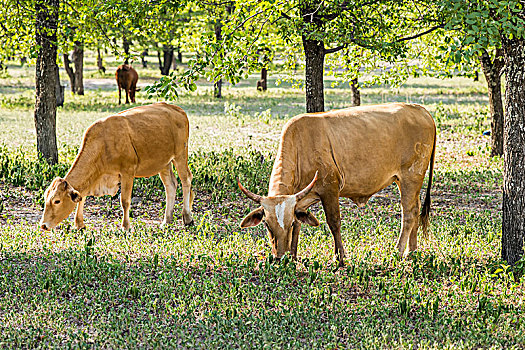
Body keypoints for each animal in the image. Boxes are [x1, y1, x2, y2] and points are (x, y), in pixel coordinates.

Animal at [39, 102, 194, 231]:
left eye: (57, 201)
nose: (43, 225)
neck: (103, 144)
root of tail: (177, 109)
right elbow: (82, 197)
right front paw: (79, 224)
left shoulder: (128, 171)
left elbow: (124, 201)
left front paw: (125, 227)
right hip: (164, 163)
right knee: (171, 186)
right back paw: (166, 221)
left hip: (180, 155)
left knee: (186, 180)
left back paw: (187, 218)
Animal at [237, 102, 434, 266]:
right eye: (267, 225)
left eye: (289, 224)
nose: (280, 258)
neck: (301, 147)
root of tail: (421, 110)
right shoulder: (301, 200)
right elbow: (301, 225)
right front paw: (293, 256)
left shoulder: (329, 189)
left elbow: (334, 223)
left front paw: (340, 258)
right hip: (406, 182)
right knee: (416, 209)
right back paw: (412, 250)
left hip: (411, 177)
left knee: (408, 214)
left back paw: (399, 251)